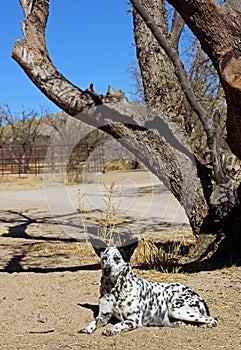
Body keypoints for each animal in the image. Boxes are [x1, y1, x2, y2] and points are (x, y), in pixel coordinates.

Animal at [79, 239, 218, 334]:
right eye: (104, 258)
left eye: (117, 258)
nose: (106, 270)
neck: (116, 290)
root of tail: (199, 297)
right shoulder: (103, 315)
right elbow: (94, 321)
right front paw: (87, 328)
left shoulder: (133, 320)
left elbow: (120, 324)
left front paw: (112, 329)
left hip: (176, 309)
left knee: (213, 320)